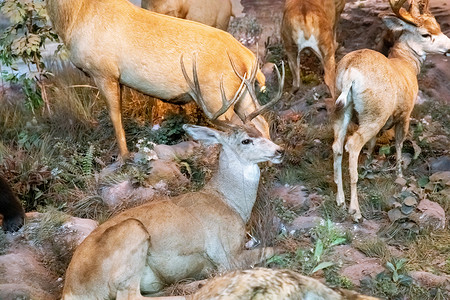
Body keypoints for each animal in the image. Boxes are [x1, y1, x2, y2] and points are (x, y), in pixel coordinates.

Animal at [45, 0, 278, 159]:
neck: (75, 17)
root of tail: (248, 58)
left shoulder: (104, 72)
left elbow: (115, 117)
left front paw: (124, 158)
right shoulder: (116, 79)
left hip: (217, 97)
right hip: (243, 94)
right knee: (260, 122)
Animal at [61, 63, 284, 300]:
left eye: (260, 132)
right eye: (246, 141)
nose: (280, 151)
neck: (230, 202)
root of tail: (69, 288)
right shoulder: (226, 253)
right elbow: (272, 249)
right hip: (132, 232)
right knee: (132, 296)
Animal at [330, 0, 450, 220]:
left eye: (437, 25)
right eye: (425, 34)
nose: (448, 47)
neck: (406, 64)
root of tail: (350, 71)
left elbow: (372, 144)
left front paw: (369, 164)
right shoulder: (405, 113)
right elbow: (399, 143)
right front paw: (400, 174)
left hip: (342, 108)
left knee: (337, 145)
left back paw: (340, 200)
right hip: (374, 112)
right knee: (352, 144)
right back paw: (355, 210)